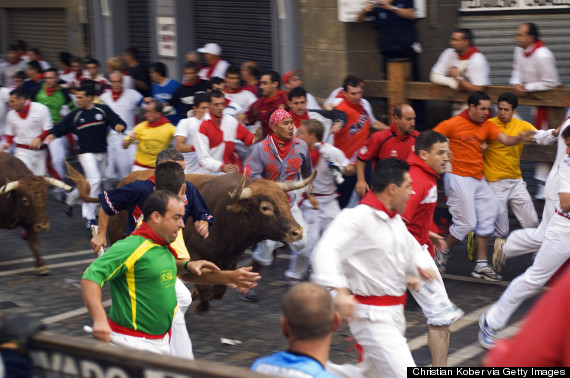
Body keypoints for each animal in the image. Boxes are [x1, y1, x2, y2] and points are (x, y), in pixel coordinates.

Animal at [69, 166, 316, 314]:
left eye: (284, 199)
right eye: (265, 207)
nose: (297, 231)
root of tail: (124, 181)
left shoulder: (230, 261)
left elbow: (219, 289)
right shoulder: (196, 259)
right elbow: (206, 290)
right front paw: (198, 302)